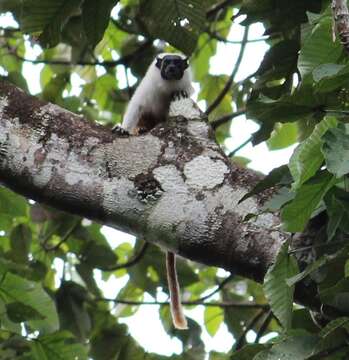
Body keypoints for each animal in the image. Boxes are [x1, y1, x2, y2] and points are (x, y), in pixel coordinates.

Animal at [112, 53, 192, 330]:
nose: (172, 67)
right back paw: (141, 130)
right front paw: (124, 128)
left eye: (177, 64)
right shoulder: (147, 89)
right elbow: (136, 108)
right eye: (167, 62)